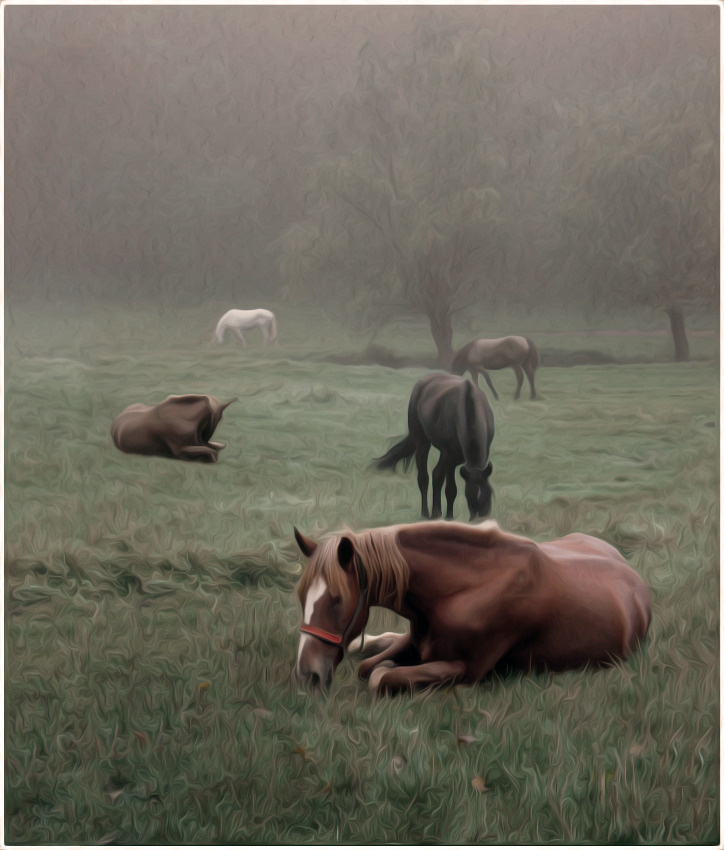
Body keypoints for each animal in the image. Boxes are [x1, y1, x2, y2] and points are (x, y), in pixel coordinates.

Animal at [293, 520, 652, 694]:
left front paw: (391, 668)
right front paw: (377, 654)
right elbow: (369, 667)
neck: (465, 587)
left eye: (338, 600)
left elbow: (380, 677)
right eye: (301, 597)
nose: (307, 675)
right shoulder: (416, 640)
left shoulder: (465, 669)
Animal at [375, 374, 494, 521]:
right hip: (423, 441)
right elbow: (445, 483)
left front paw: (449, 515)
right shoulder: (449, 455)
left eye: (489, 492)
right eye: (468, 495)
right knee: (425, 477)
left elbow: (446, 484)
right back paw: (427, 513)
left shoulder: (455, 459)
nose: (482, 518)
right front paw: (443, 515)